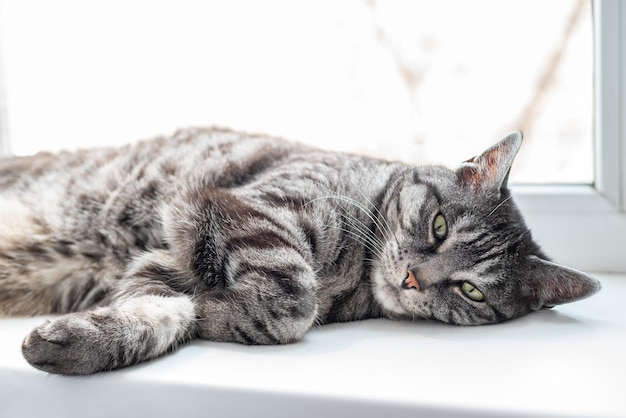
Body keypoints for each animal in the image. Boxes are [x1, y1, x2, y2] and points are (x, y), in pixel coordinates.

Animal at [0, 128, 596, 376]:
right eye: (440, 225)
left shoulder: (158, 264)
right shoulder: (241, 207)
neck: (353, 272)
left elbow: (164, 313)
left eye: (471, 290)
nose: (412, 279)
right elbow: (292, 296)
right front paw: (218, 309)